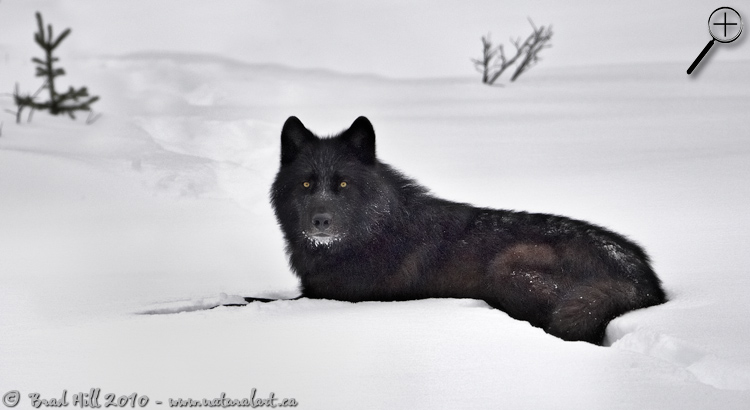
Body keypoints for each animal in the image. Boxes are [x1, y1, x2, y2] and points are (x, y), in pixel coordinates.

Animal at [265, 116, 666, 344]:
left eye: (343, 185)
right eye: (306, 184)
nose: (320, 221)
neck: (371, 233)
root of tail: (643, 280)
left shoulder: (329, 298)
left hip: (510, 266)